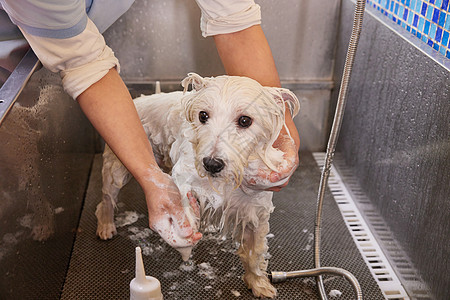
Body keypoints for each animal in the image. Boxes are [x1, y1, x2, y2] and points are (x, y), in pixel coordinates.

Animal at [96, 72, 298, 298]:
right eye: (203, 116)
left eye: (245, 120)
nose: (211, 163)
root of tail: (140, 99)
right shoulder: (185, 181)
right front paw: (185, 242)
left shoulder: (255, 212)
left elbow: (254, 254)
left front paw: (259, 283)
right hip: (116, 167)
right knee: (107, 198)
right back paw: (106, 225)